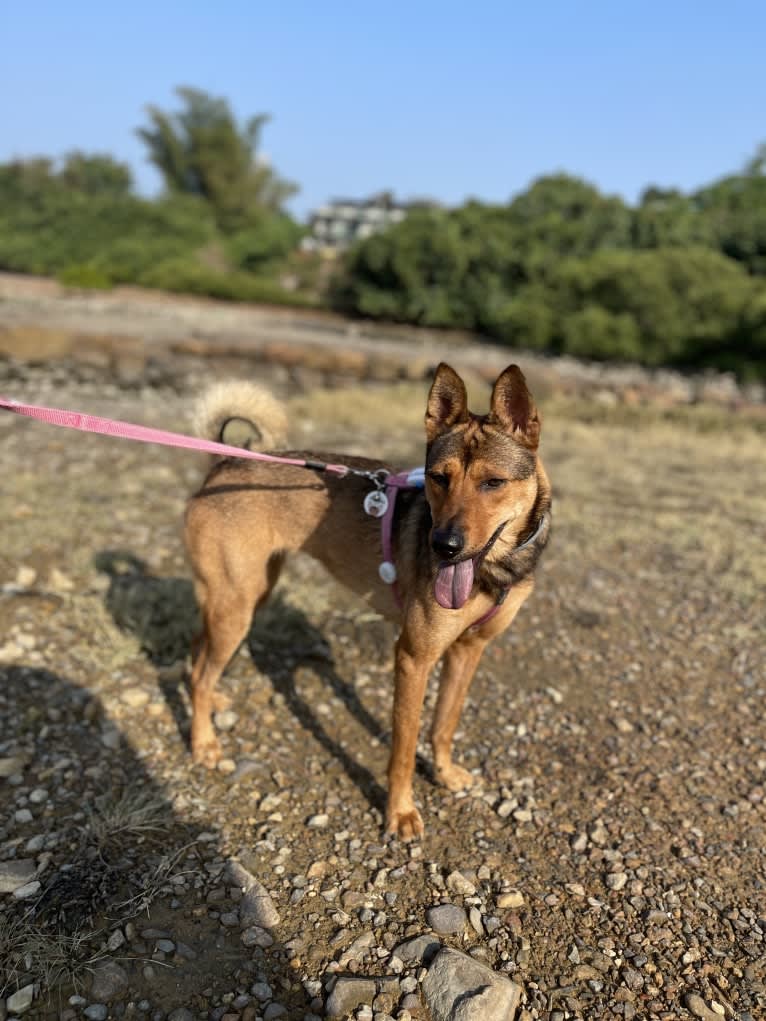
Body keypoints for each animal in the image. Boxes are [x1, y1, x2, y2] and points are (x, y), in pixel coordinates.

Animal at [184, 365, 551, 837]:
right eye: (439, 477)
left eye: (494, 483)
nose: (443, 546)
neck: (493, 569)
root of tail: (224, 462)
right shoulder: (413, 658)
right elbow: (404, 748)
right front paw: (400, 812)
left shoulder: (468, 651)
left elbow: (444, 724)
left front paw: (445, 773)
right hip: (237, 606)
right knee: (202, 671)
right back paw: (203, 741)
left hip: (246, 595)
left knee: (199, 652)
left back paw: (211, 703)